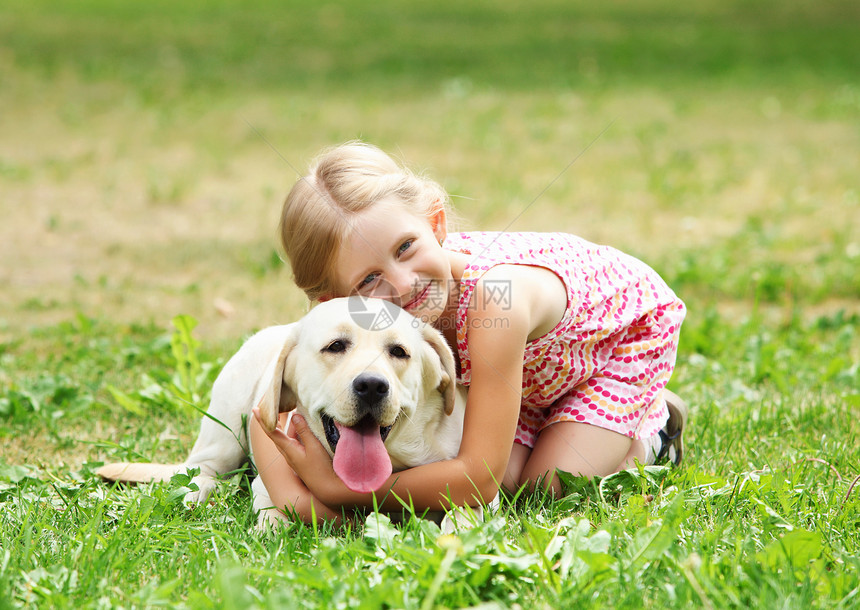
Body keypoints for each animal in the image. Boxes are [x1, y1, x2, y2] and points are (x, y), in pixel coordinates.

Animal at [99, 296, 490, 524]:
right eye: (336, 346)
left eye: (399, 352)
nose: (372, 386)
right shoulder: (268, 482)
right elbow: (273, 512)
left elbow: (464, 518)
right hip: (224, 428)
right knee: (199, 470)